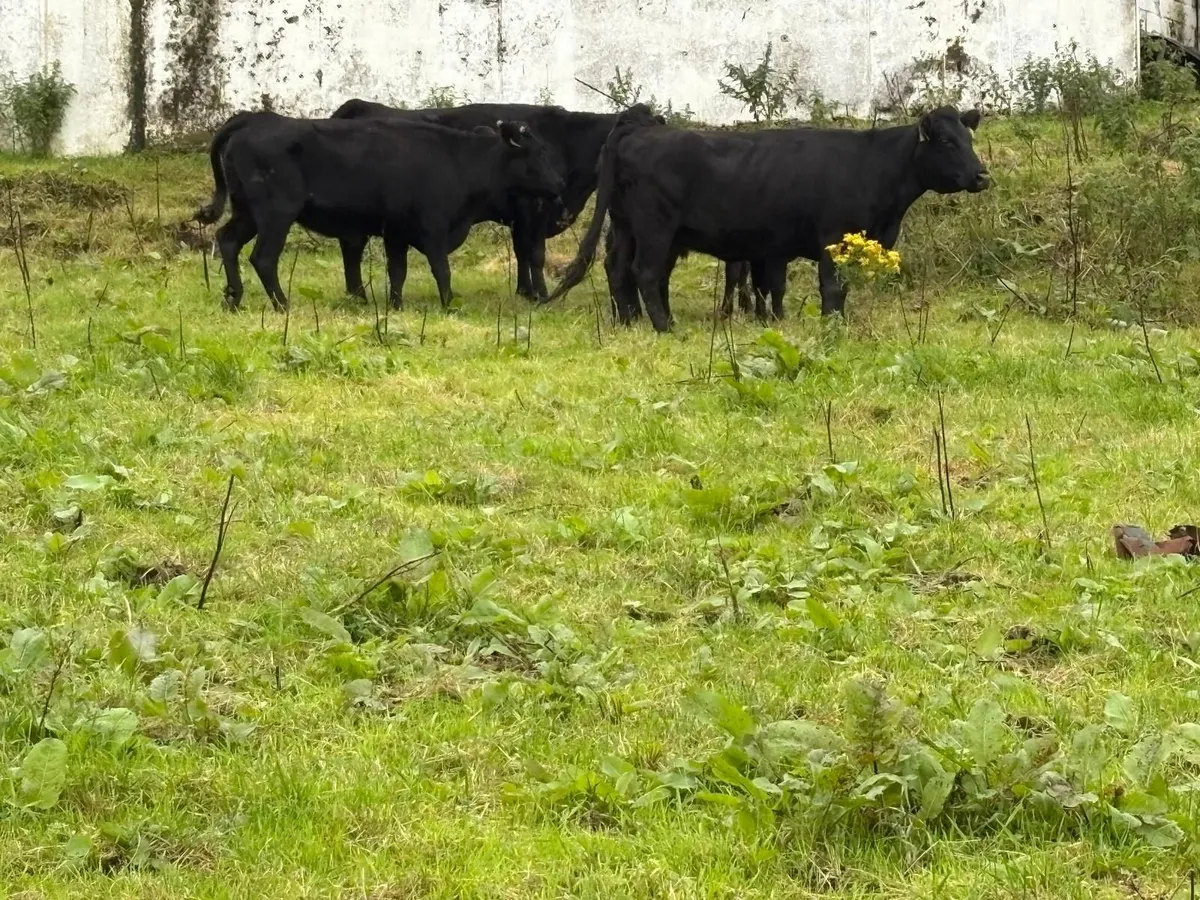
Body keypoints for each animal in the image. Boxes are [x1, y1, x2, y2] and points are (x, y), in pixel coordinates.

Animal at [193, 110, 564, 312]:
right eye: (540, 153)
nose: (560, 183)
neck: (458, 160)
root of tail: (253, 118)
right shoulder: (433, 227)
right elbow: (441, 269)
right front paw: (449, 303)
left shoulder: (396, 231)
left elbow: (397, 271)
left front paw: (396, 305)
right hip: (275, 213)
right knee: (263, 258)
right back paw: (281, 304)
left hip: (247, 211)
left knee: (227, 241)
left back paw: (233, 298)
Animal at [331, 99, 657, 304]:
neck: (566, 141)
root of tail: (356, 106)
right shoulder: (532, 209)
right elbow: (535, 254)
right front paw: (539, 294)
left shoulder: (521, 215)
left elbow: (522, 252)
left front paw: (525, 291)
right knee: (353, 249)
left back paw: (356, 295)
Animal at [550, 106, 990, 332]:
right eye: (947, 142)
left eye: (968, 139)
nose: (983, 176)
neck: (874, 165)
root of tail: (636, 129)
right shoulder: (832, 239)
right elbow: (832, 290)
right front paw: (833, 328)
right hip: (655, 228)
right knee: (644, 272)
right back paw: (664, 326)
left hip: (628, 227)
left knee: (618, 269)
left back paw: (629, 321)